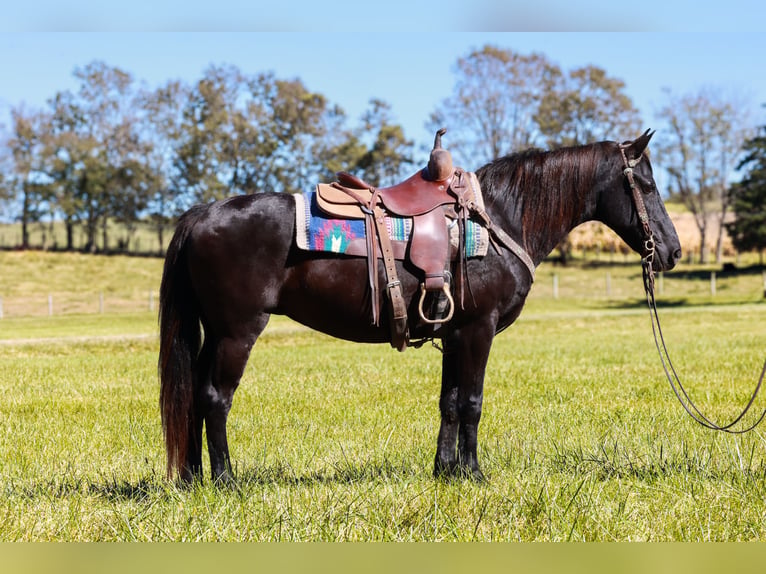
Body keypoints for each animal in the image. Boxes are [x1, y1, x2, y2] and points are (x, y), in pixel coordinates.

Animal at [158, 130, 682, 483]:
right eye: (648, 187)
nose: (673, 251)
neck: (499, 218)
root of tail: (202, 214)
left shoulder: (454, 332)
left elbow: (448, 402)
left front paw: (445, 471)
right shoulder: (478, 329)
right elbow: (471, 402)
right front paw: (474, 473)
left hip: (214, 333)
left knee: (194, 398)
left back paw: (193, 477)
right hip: (237, 332)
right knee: (215, 398)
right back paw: (226, 480)